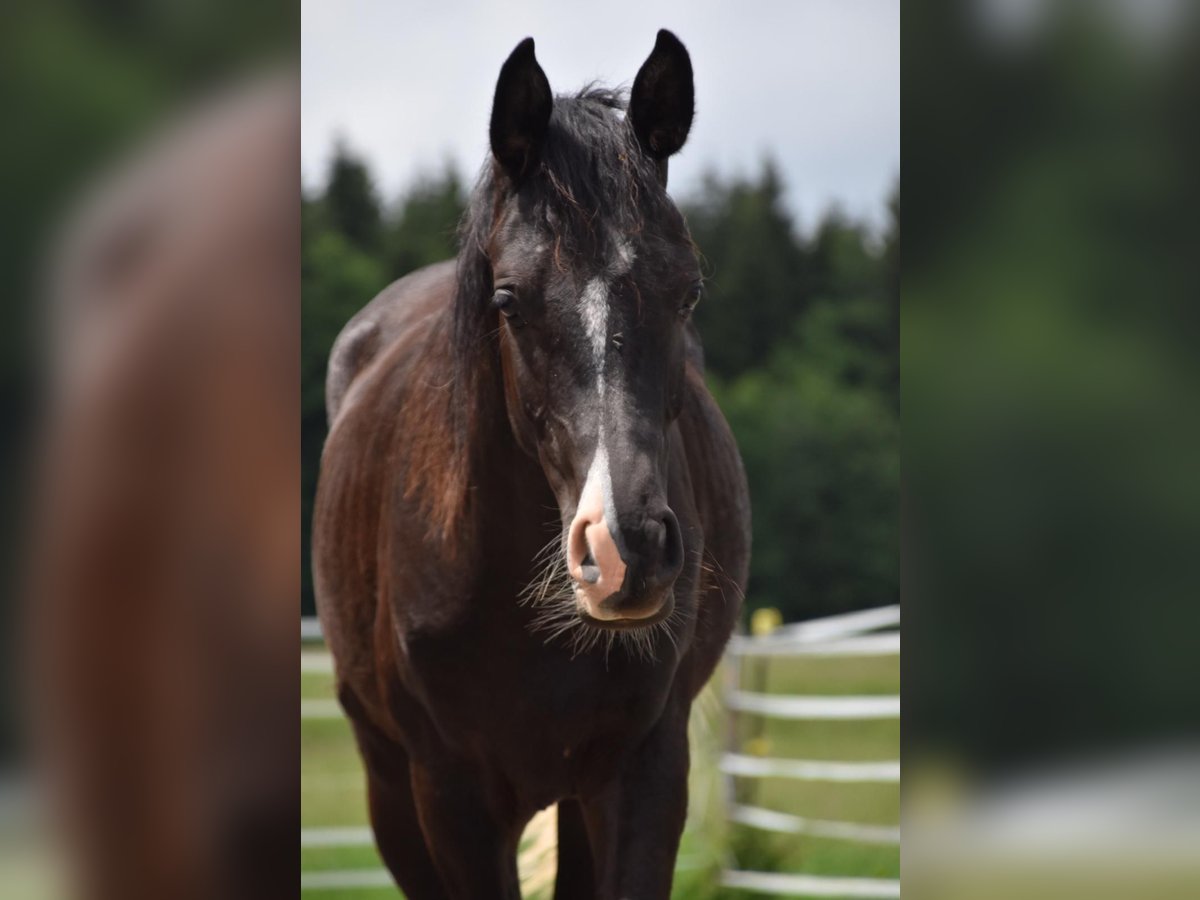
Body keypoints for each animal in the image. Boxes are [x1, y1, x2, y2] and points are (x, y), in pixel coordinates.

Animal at [316, 31, 748, 897]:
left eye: (687, 293)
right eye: (508, 298)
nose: (626, 549)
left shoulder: (645, 773)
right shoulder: (450, 799)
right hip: (391, 789)